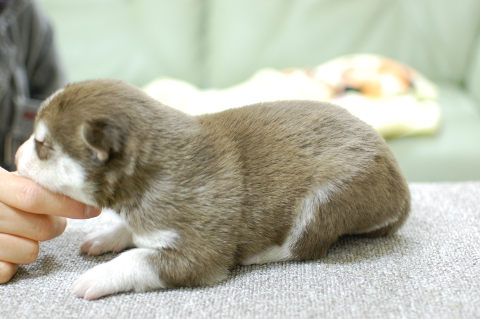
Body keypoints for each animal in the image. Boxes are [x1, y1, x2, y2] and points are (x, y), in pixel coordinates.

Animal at [16, 79, 410, 300]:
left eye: (41, 145)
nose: (16, 158)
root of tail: (402, 194)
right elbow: (133, 231)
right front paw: (107, 236)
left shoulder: (199, 252)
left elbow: (140, 258)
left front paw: (98, 276)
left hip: (328, 199)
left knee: (304, 246)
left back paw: (261, 253)